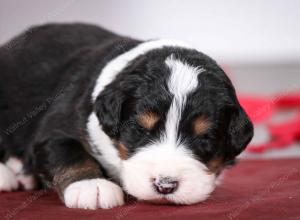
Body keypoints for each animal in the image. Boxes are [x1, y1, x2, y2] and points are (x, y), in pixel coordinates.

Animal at [0, 23, 253, 209]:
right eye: (139, 129)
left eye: (205, 138)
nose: (165, 185)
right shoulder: (56, 127)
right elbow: (68, 151)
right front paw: (91, 186)